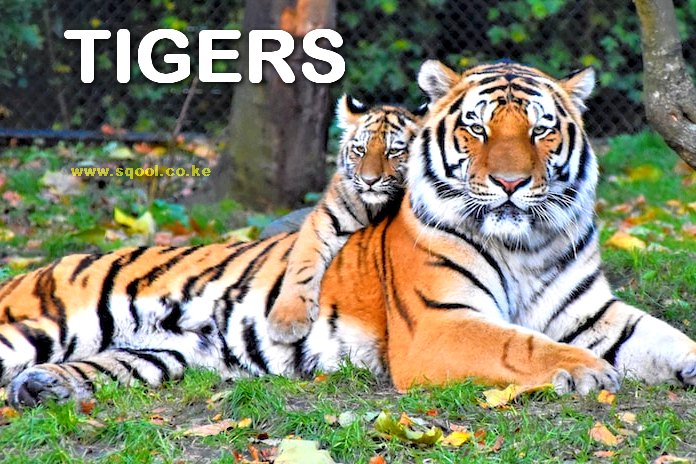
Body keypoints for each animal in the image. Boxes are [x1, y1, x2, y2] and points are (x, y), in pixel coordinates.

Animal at [266, 95, 424, 343]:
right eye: (360, 150)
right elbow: (301, 266)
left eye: (392, 152)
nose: (369, 181)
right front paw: (286, 321)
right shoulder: (323, 221)